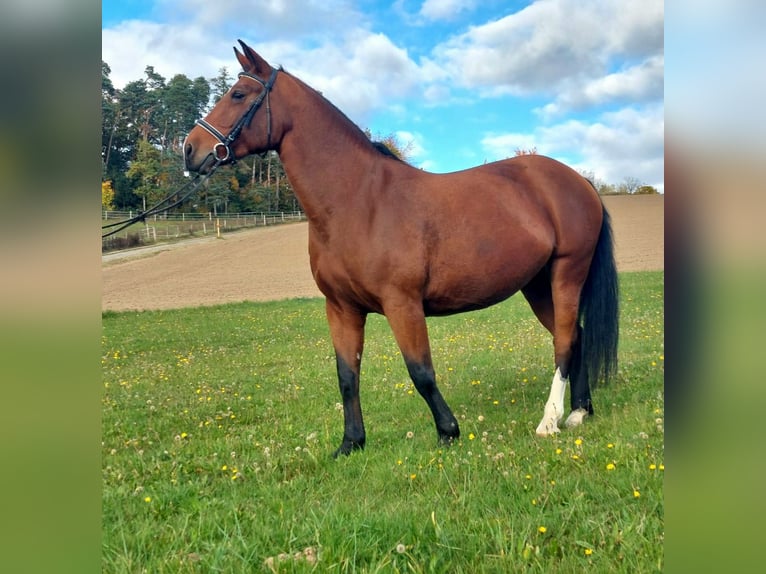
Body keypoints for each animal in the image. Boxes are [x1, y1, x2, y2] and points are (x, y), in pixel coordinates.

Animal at [184, 41, 619, 457]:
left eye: (239, 94)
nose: (190, 149)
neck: (358, 200)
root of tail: (578, 181)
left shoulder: (402, 304)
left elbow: (421, 372)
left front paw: (448, 432)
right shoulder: (341, 309)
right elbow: (347, 376)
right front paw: (351, 443)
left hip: (566, 273)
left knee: (564, 342)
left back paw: (550, 421)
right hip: (537, 284)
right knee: (574, 337)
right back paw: (578, 412)